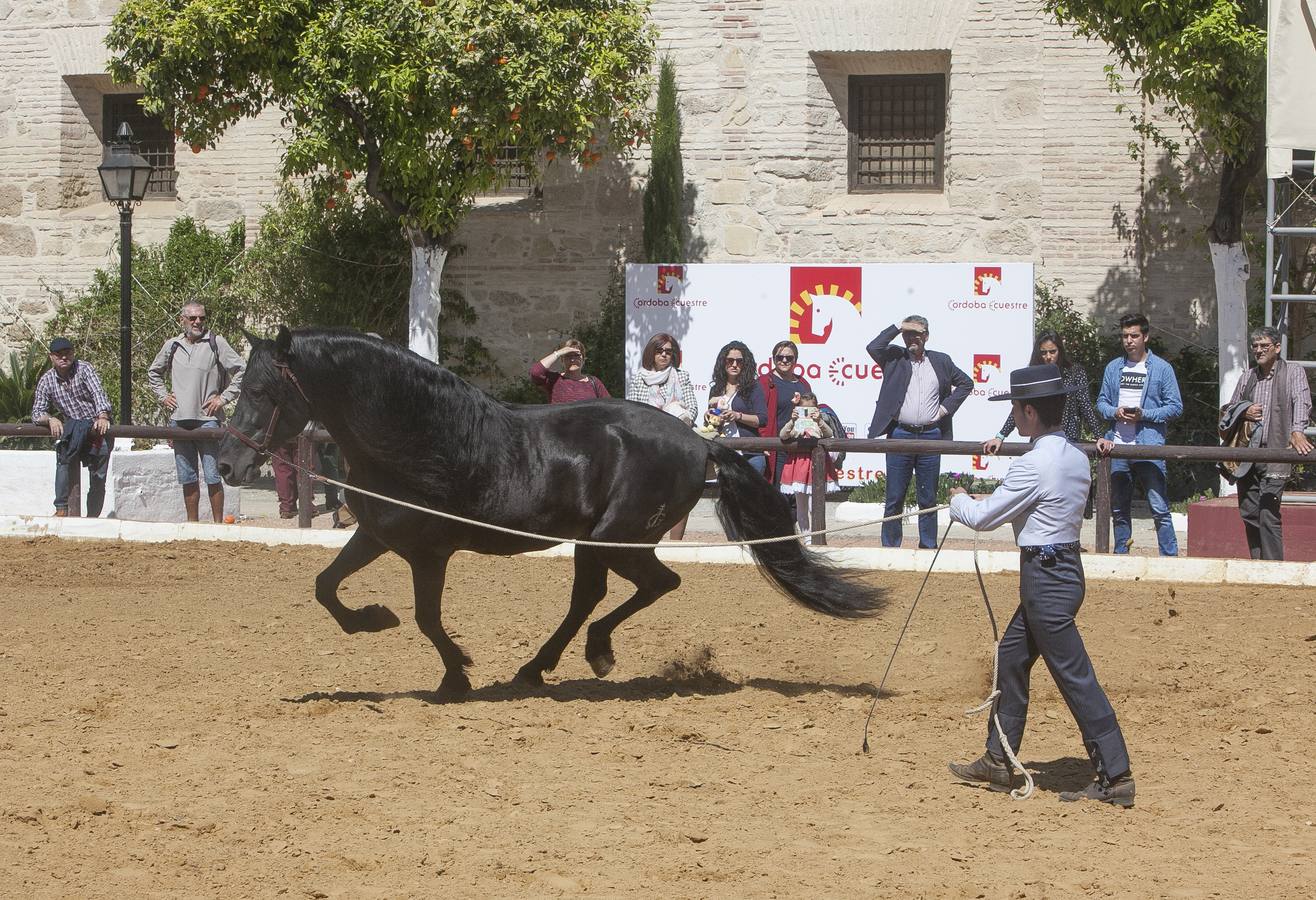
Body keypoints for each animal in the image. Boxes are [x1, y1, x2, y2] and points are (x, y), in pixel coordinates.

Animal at [221, 326, 884, 700]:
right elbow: (325, 587)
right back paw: (541, 667)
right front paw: (373, 621)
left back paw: (587, 656)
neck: (417, 434)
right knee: (602, 594)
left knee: (645, 586)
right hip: (602, 542)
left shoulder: (430, 553)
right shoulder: (379, 535)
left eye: (259, 391)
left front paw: (456, 675)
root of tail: (699, 443)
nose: (228, 465)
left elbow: (428, 619)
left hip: (613, 539)